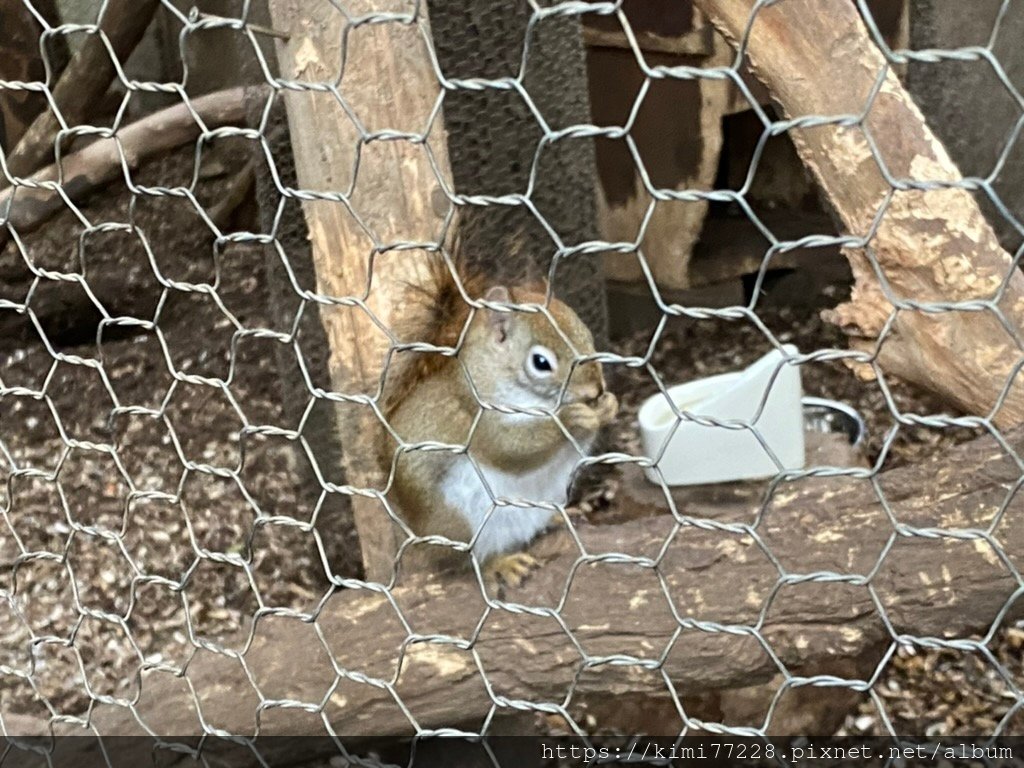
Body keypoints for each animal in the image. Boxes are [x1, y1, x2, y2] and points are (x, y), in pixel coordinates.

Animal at [378, 252, 614, 589]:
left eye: (588, 335)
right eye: (540, 362)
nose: (596, 390)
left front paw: (607, 406)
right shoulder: (478, 418)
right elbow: (510, 449)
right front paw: (570, 417)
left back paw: (558, 517)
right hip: (458, 525)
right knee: (466, 562)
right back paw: (501, 564)